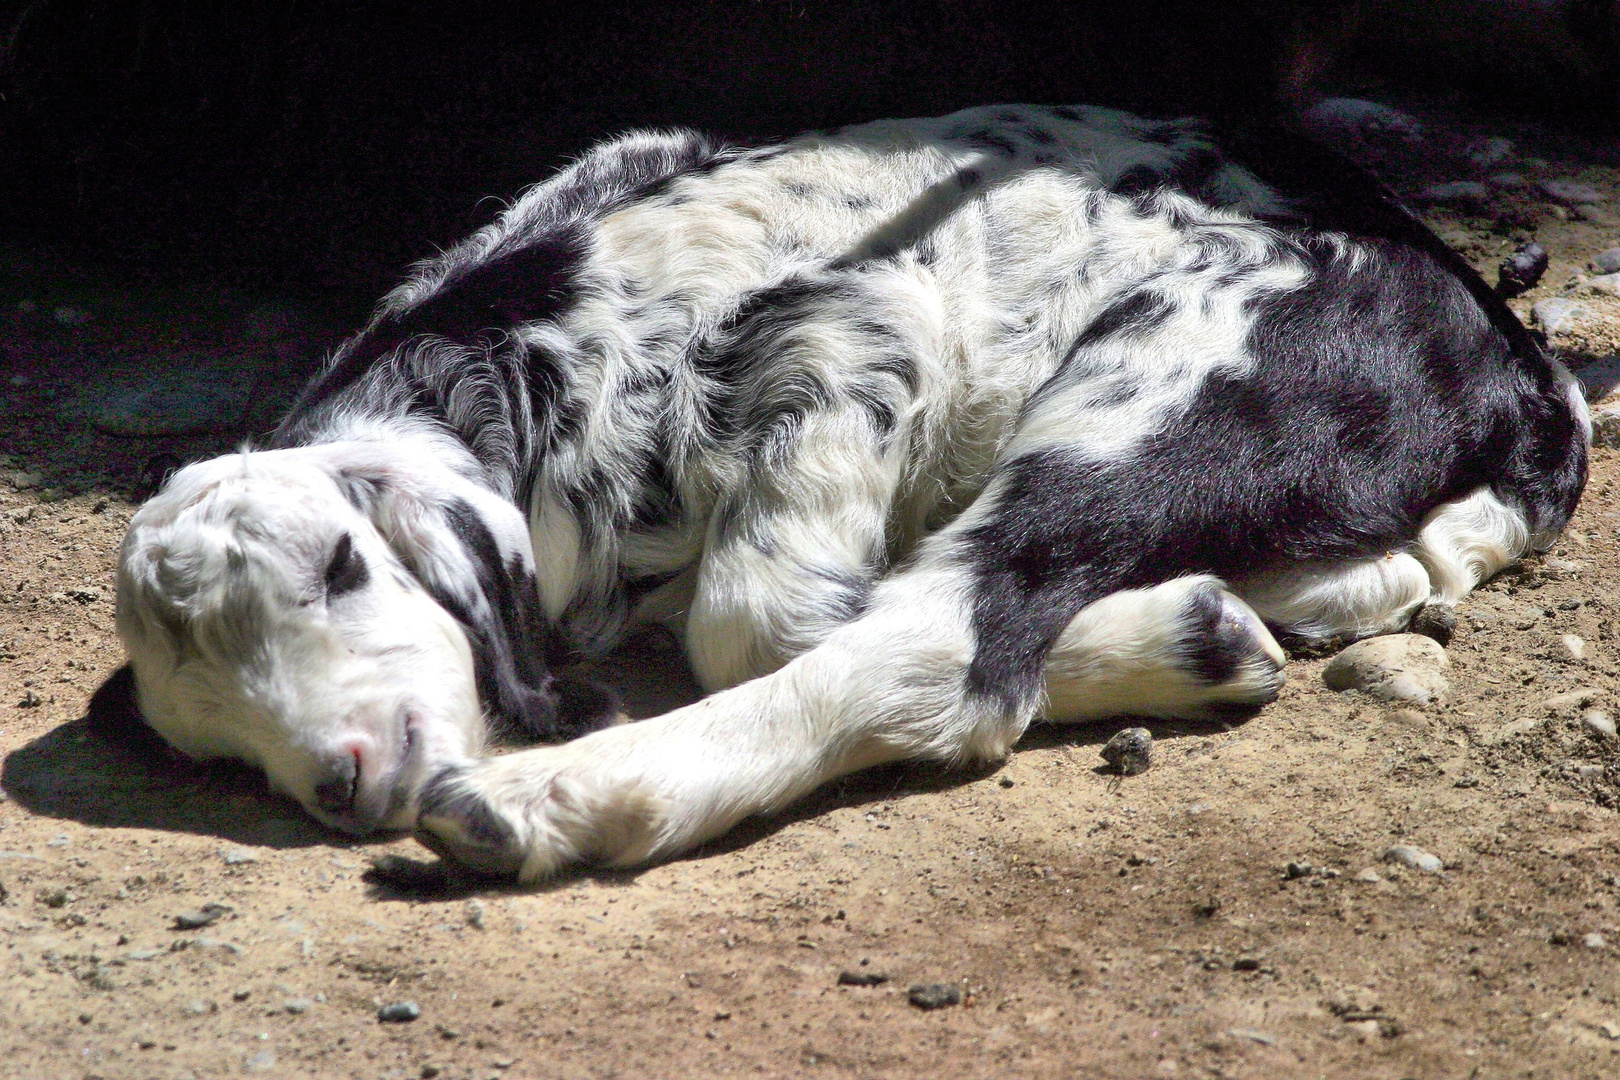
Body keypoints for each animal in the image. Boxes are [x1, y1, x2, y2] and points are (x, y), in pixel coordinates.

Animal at [114, 105, 1581, 880]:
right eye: (206, 745)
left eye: (340, 565)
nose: (342, 780)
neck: (518, 347)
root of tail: (1505, 345)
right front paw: (1191, 630)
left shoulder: (857, 325)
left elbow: (764, 622)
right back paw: (1264, 607)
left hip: (1183, 362)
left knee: (945, 639)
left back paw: (559, 800)